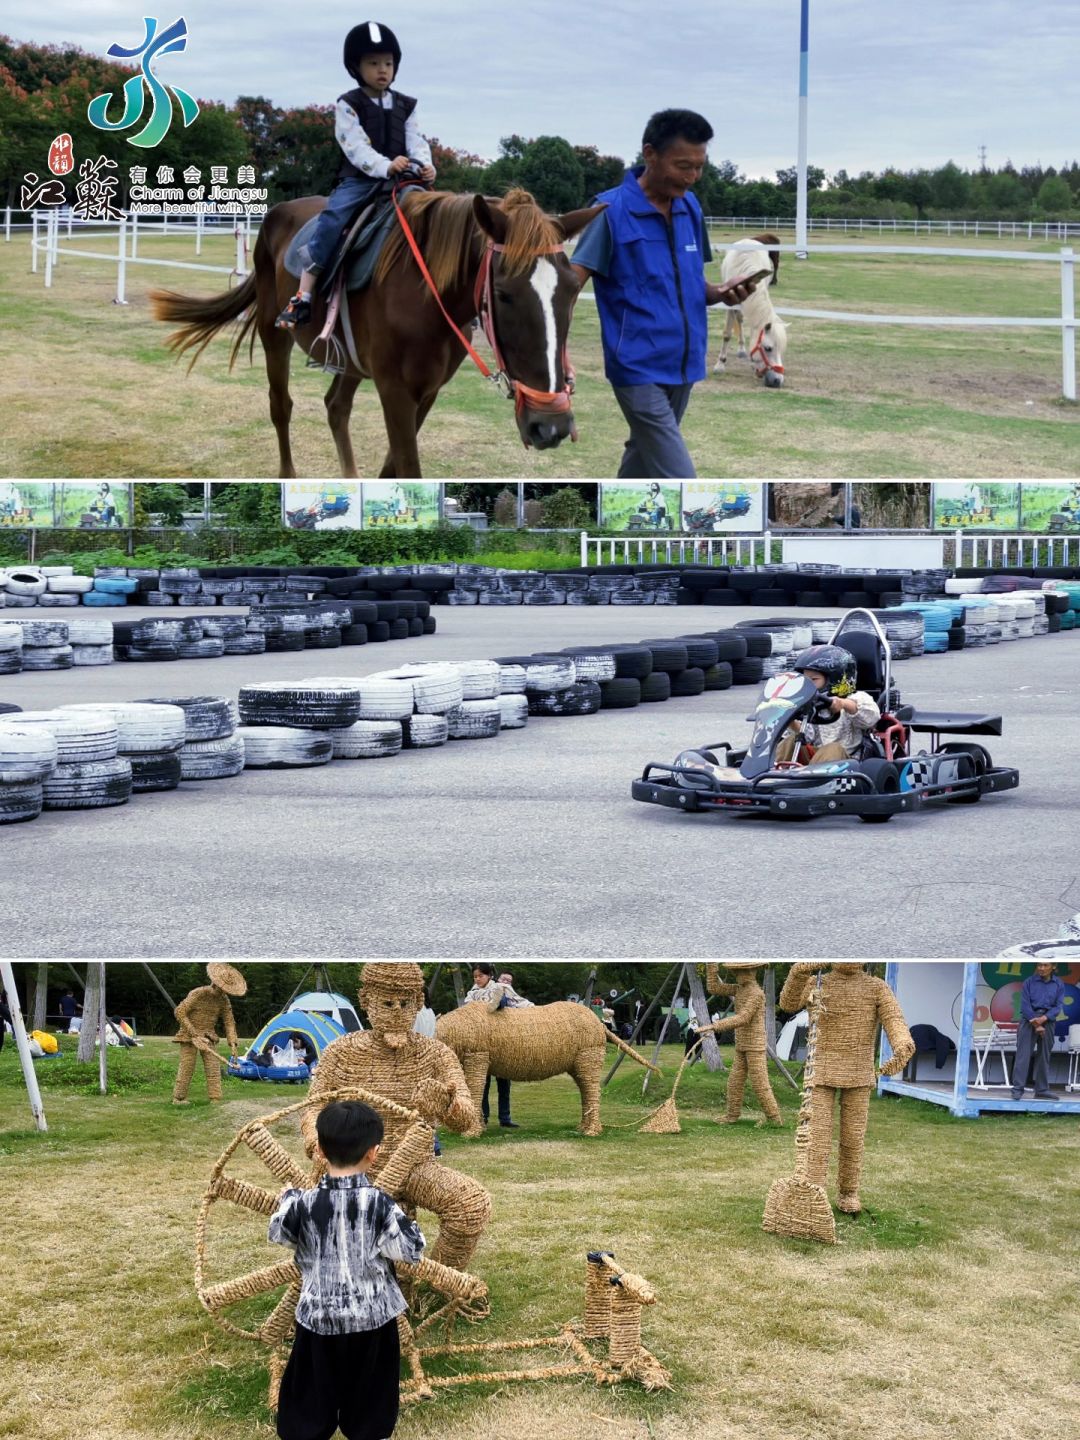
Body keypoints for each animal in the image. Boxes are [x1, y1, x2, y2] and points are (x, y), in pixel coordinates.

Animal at [149, 188, 602, 477]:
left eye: (573, 290)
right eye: (505, 294)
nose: (551, 426)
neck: (425, 295)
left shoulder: (427, 391)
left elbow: (393, 468)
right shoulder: (394, 389)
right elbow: (408, 467)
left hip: (349, 360)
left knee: (336, 407)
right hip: (273, 334)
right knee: (281, 405)